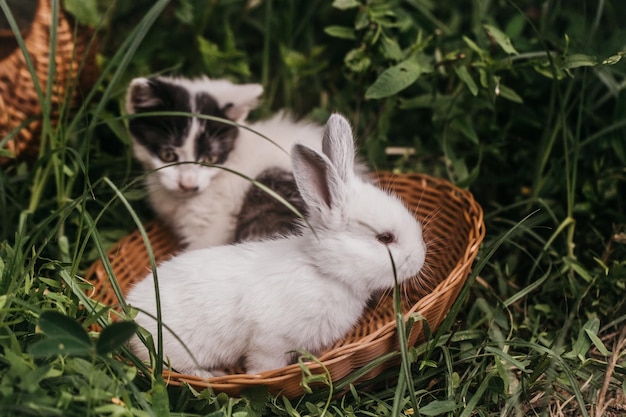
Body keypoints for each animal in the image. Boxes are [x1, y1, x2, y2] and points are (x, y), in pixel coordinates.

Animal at [128, 112, 428, 376]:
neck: (324, 271)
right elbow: (263, 365)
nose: (421, 257)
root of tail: (131, 312)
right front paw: (258, 378)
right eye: (385, 238)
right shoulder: (269, 342)